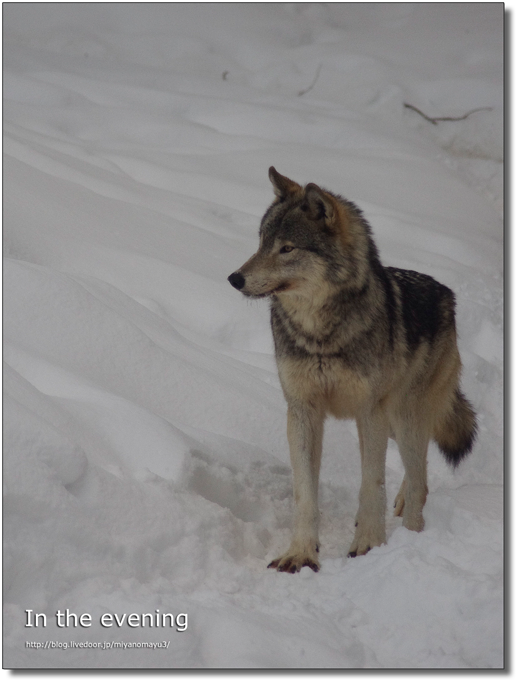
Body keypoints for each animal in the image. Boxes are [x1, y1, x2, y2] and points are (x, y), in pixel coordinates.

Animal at [229, 168, 480, 576]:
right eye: (262, 243)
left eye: (287, 248)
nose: (235, 278)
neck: (320, 335)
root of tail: (447, 294)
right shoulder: (302, 411)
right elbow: (305, 493)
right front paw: (300, 554)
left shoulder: (369, 412)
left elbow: (371, 483)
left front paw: (369, 544)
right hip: (397, 423)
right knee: (419, 468)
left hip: (403, 417)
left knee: (420, 479)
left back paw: (411, 534)